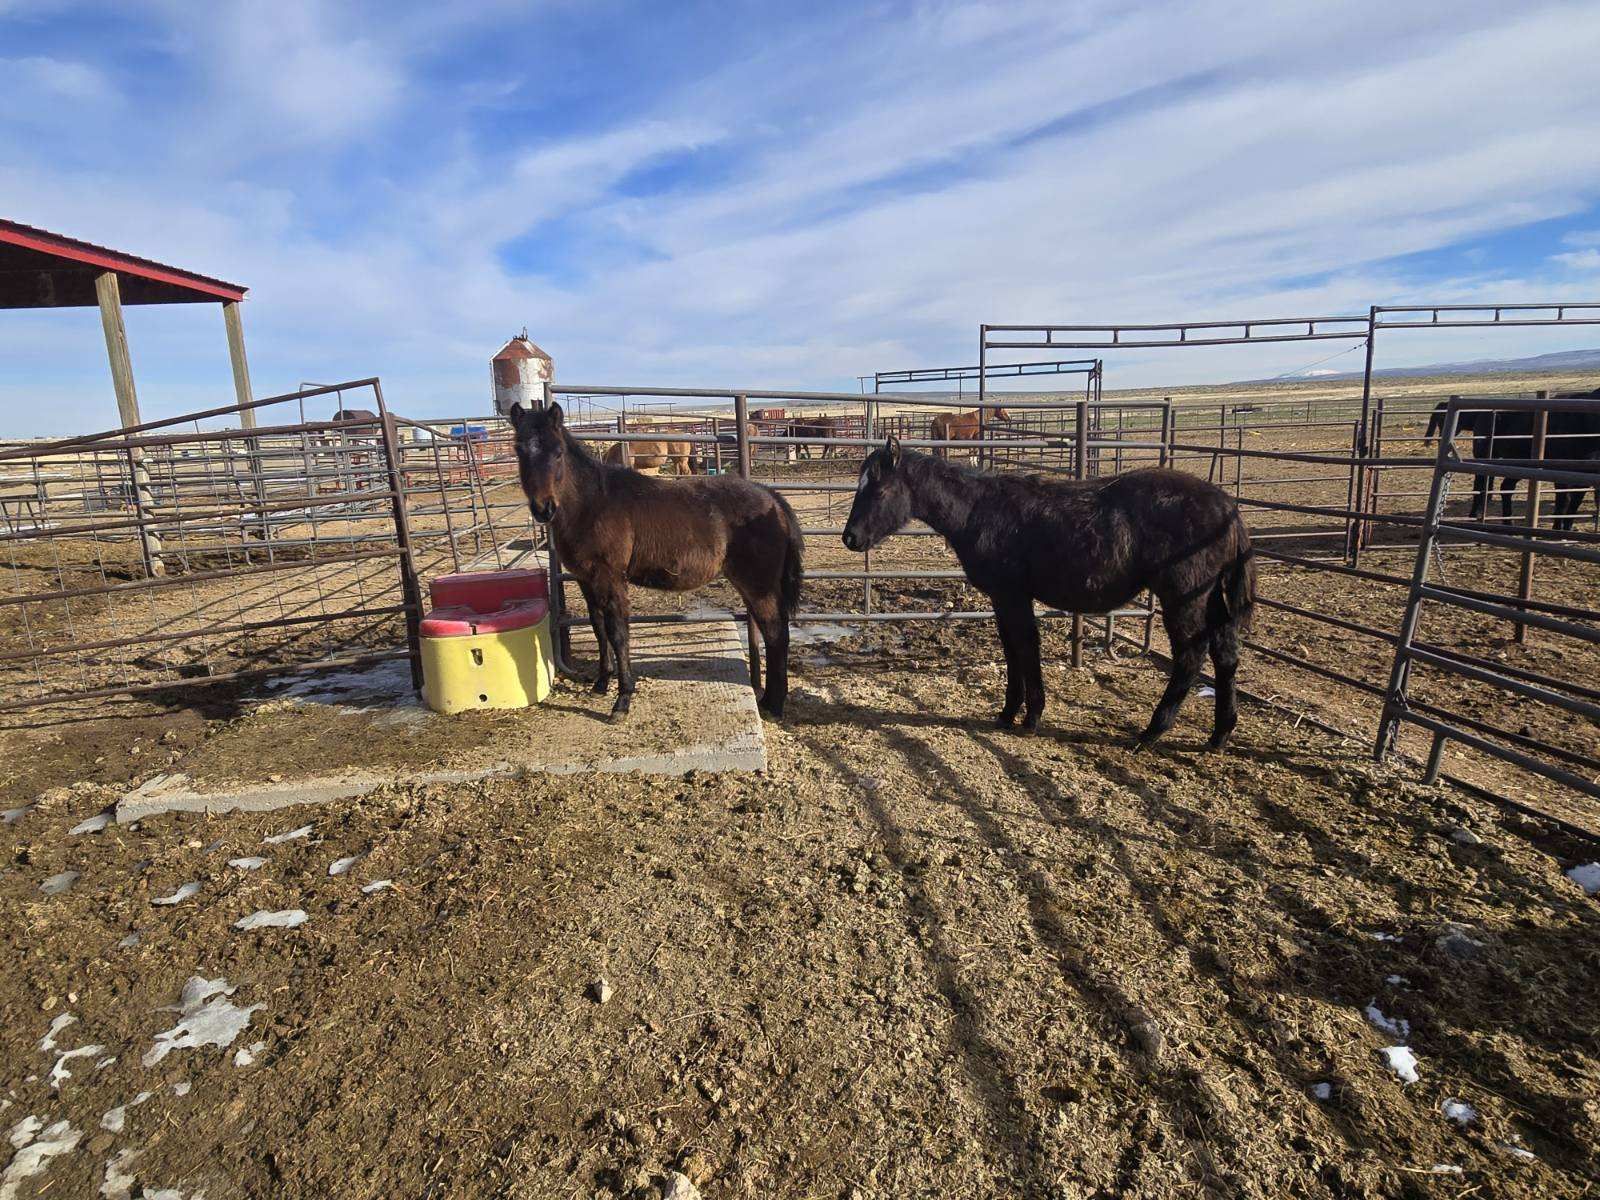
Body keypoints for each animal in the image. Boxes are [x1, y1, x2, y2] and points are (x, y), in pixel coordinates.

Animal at [512, 403, 804, 720]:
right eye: (519, 450)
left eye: (558, 452)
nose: (543, 508)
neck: (592, 504)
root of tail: (773, 499)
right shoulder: (585, 579)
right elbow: (598, 628)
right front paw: (601, 683)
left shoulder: (611, 578)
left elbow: (618, 633)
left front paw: (622, 700)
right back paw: (768, 701)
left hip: (758, 586)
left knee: (776, 634)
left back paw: (774, 705)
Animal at [842, 437, 1255, 748]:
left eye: (879, 489)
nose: (850, 538)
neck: (980, 511)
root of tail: (1228, 508)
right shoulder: (1003, 598)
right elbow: (1012, 648)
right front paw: (1008, 713)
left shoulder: (1012, 595)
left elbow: (1025, 646)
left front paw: (1031, 716)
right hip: (1210, 599)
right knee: (1225, 654)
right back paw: (1219, 735)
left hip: (1184, 598)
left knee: (1190, 655)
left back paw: (1151, 733)